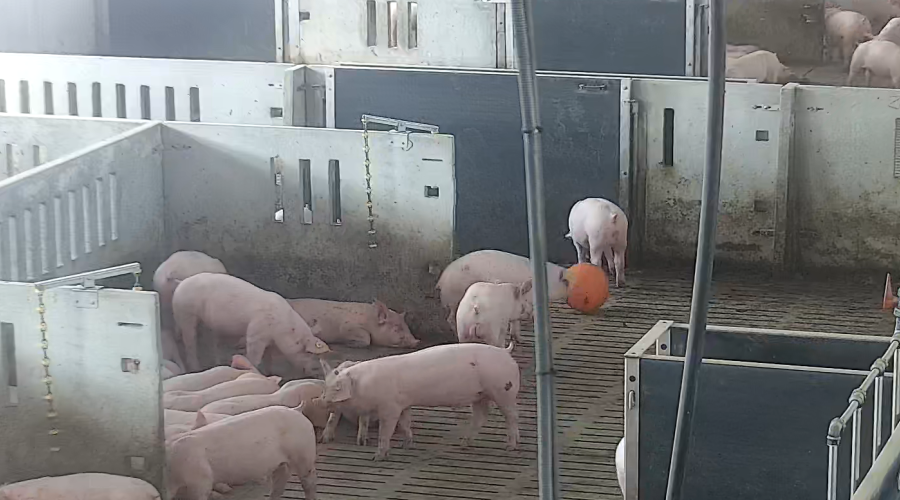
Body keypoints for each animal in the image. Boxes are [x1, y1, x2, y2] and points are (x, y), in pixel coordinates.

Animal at [167, 406, 318, 500]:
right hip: (281, 464)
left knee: (309, 483)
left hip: (304, 453)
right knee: (278, 485)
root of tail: (296, 410)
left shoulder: (200, 481)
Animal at [171, 274, 328, 372]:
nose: (316, 369)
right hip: (186, 313)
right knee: (190, 341)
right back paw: (196, 368)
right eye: (307, 352)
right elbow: (254, 358)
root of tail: (181, 282)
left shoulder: (270, 341)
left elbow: (269, 358)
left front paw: (269, 372)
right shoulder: (255, 335)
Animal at [286, 296, 420, 348]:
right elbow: (367, 338)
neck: (370, 321)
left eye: (406, 326)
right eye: (397, 326)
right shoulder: (347, 326)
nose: (417, 341)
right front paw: (350, 343)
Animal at [322, 344, 520, 460]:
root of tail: (505, 352)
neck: (366, 384)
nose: (321, 399)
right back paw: (464, 444)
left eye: (336, 388)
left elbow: (386, 431)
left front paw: (378, 456)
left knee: (511, 416)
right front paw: (407, 445)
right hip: (480, 395)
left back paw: (510, 447)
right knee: (481, 416)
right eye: (327, 383)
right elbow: (405, 423)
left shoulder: (389, 407)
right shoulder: (403, 404)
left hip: (503, 390)